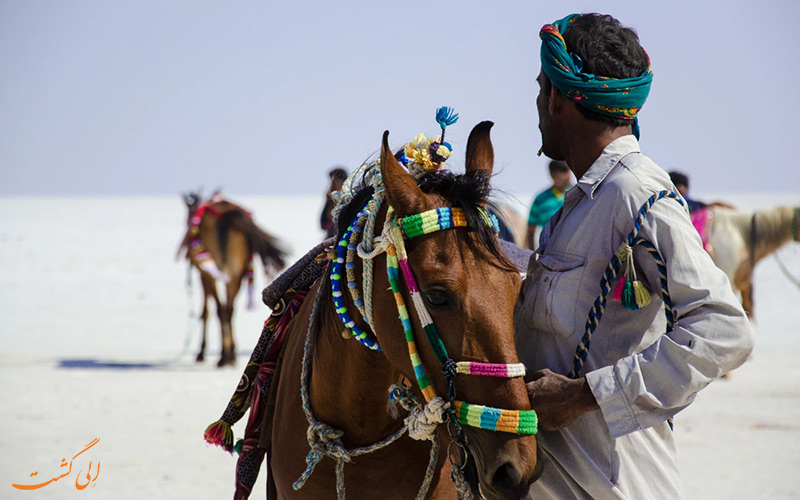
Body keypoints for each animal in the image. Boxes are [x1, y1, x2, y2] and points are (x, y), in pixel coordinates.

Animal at [178, 191, 288, 368]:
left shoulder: (204, 274)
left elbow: (205, 312)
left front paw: (201, 352)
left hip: (216, 271)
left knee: (221, 309)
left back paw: (224, 357)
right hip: (236, 270)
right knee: (229, 309)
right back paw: (229, 356)